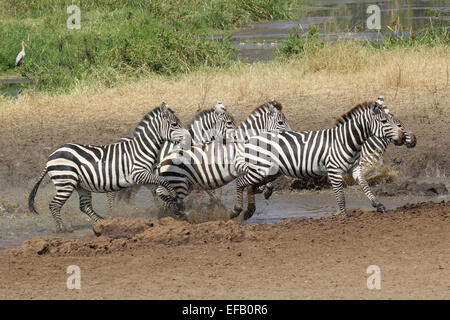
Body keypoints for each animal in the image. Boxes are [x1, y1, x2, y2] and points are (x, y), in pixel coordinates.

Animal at [27, 101, 185, 231]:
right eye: (174, 124)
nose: (187, 138)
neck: (143, 149)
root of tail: (51, 156)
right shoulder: (139, 174)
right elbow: (164, 182)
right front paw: (175, 197)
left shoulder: (145, 177)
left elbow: (159, 190)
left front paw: (176, 209)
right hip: (65, 182)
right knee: (54, 205)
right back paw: (62, 229)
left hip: (80, 185)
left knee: (84, 206)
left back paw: (102, 222)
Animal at [155, 100, 292, 215]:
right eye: (281, 122)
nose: (291, 135)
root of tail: (164, 159)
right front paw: (264, 189)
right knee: (162, 192)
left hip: (187, 183)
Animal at [232, 97, 404, 219]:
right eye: (384, 121)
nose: (402, 136)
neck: (346, 140)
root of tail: (255, 137)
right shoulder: (334, 171)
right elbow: (340, 197)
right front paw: (344, 218)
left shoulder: (355, 168)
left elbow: (365, 185)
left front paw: (378, 205)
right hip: (261, 170)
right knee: (241, 182)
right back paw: (236, 210)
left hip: (269, 172)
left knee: (250, 185)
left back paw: (248, 211)